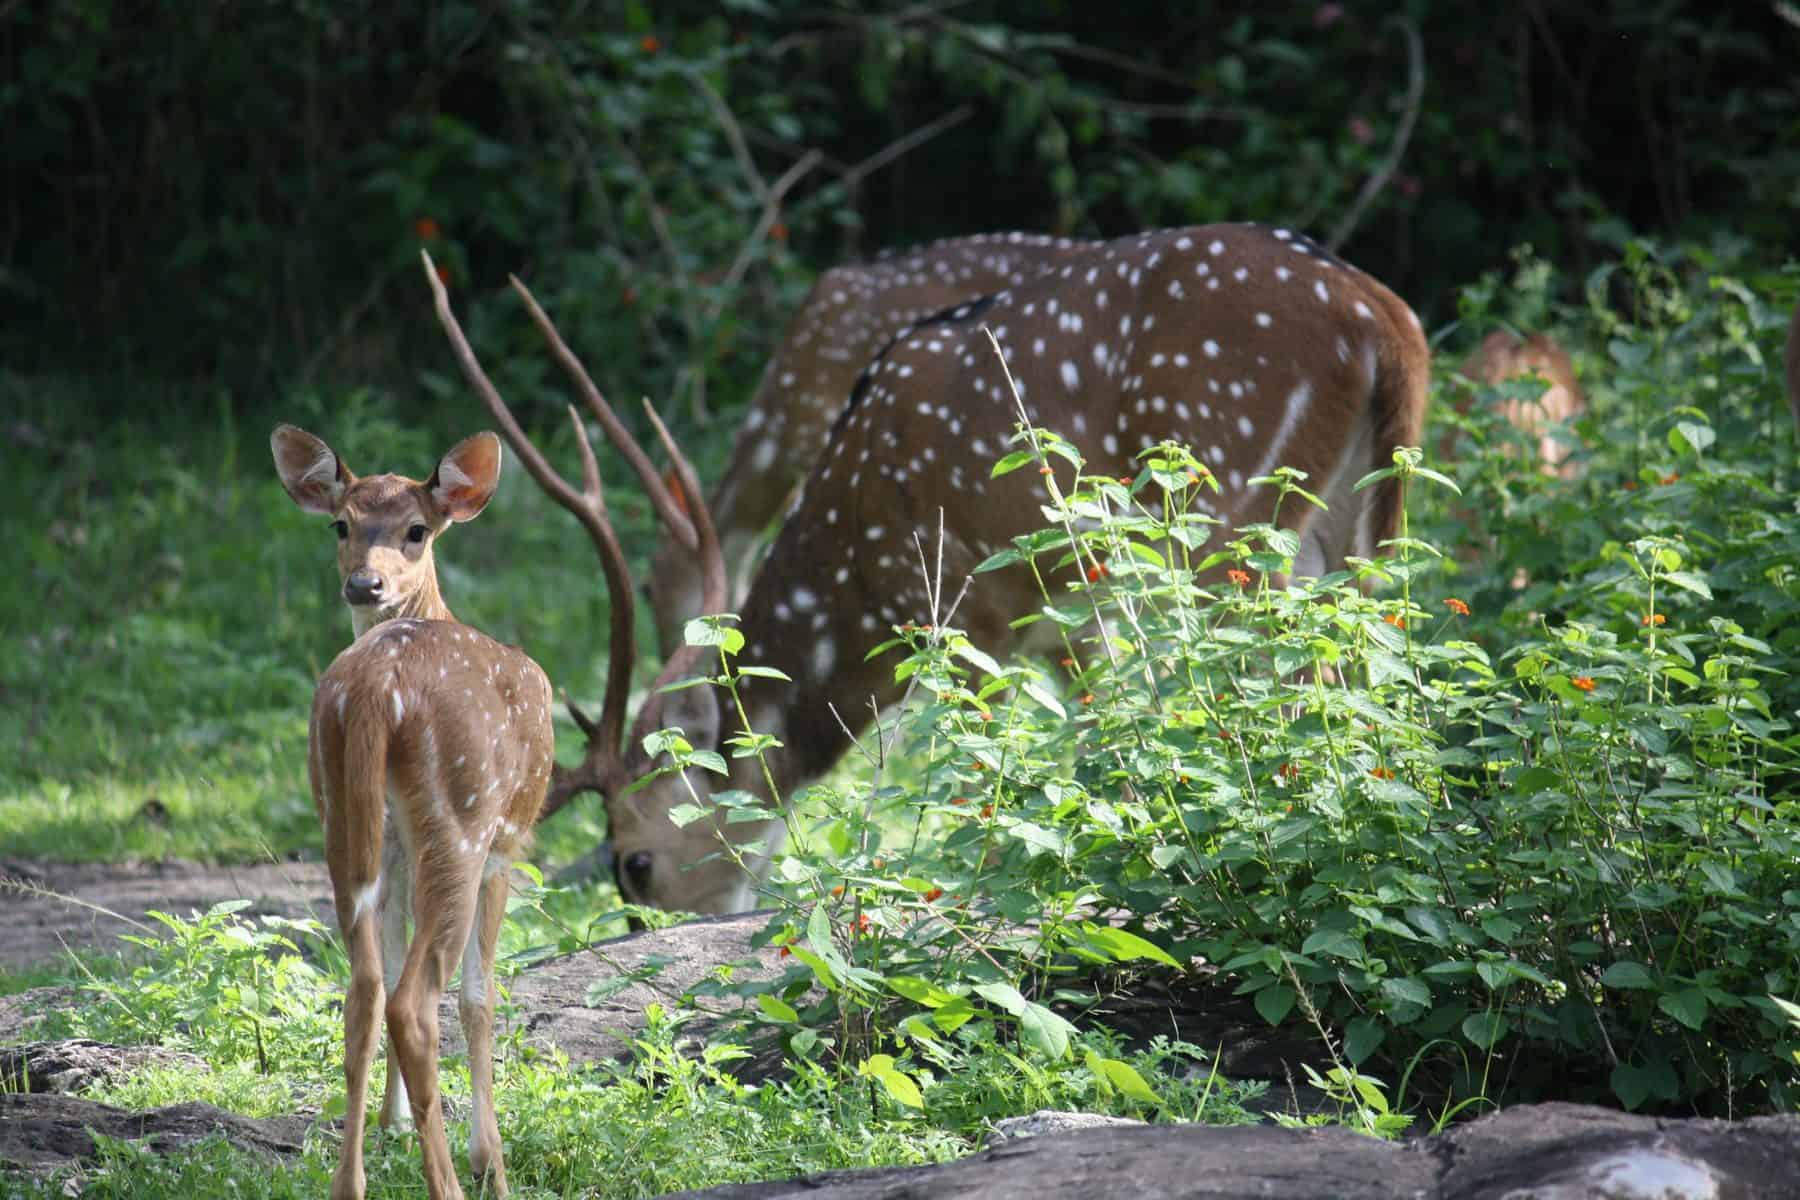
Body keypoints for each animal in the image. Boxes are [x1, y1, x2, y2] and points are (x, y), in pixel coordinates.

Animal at [270, 424, 550, 1200]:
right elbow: (482, 995)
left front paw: (394, 1125)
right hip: (461, 820)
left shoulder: (391, 847)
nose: (364, 583)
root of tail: (375, 688)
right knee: (414, 1001)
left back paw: (351, 1181)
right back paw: (452, 1182)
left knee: (365, 990)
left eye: (415, 530)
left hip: (340, 818)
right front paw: (491, 1161)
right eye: (340, 524)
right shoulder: (507, 847)